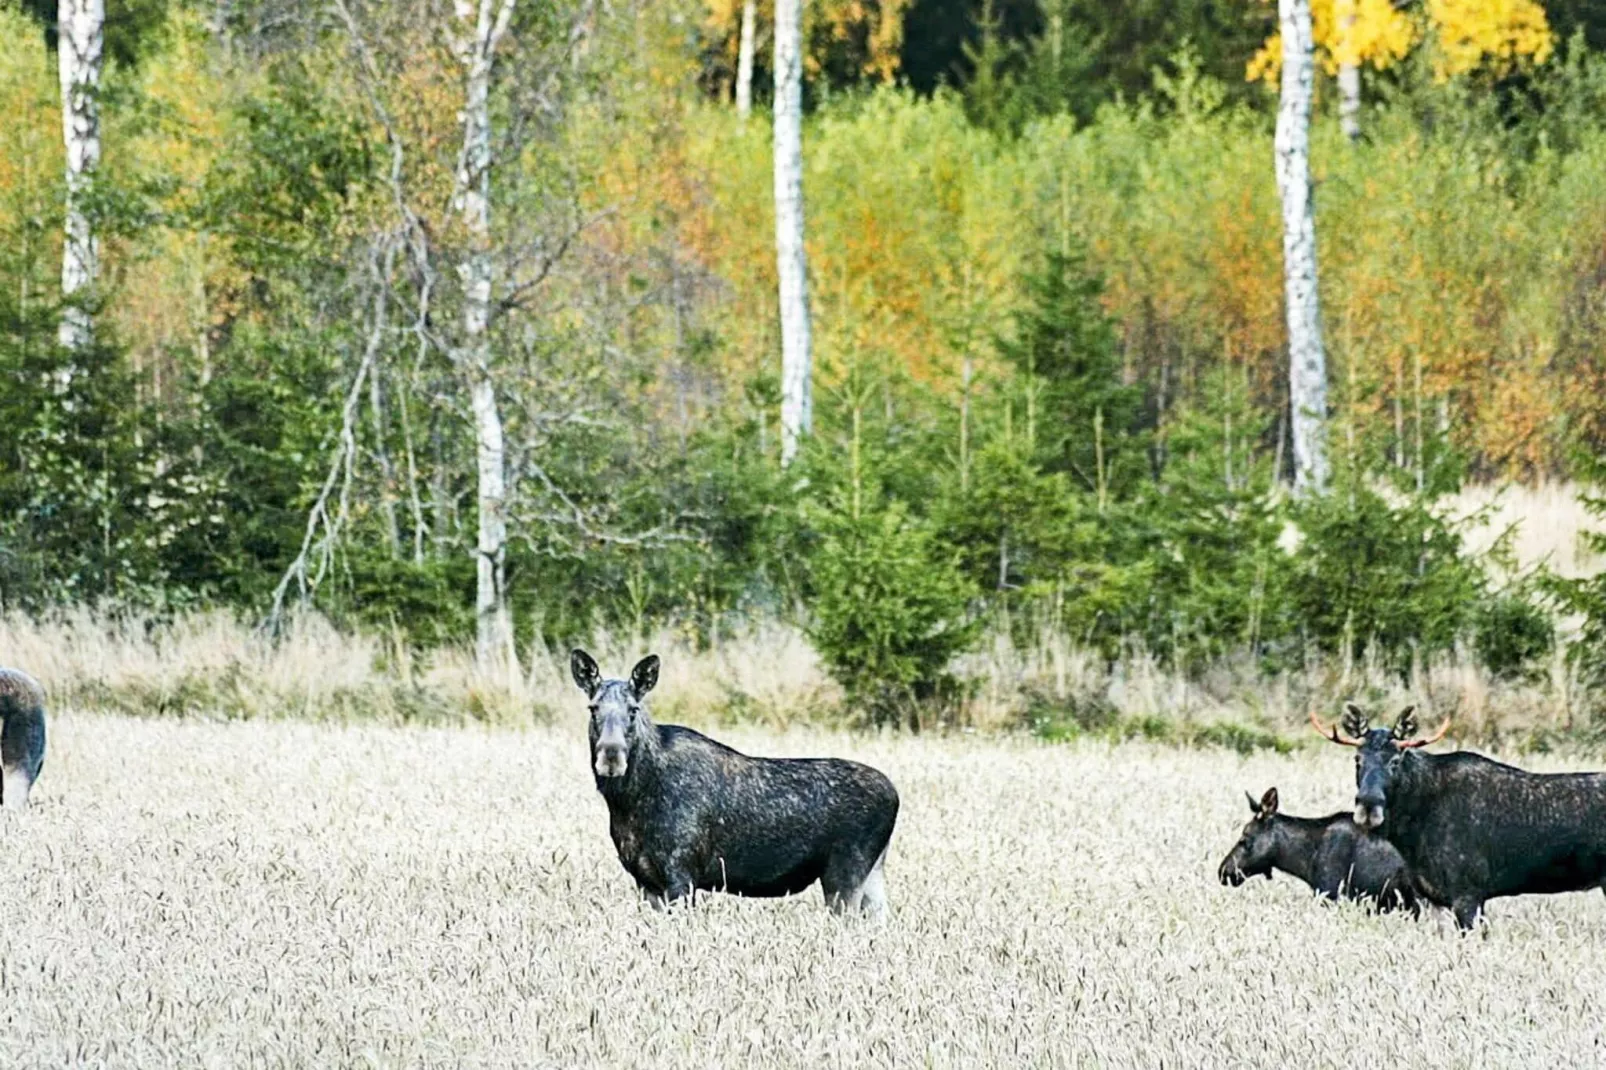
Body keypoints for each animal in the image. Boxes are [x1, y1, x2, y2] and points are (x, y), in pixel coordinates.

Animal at [574, 645, 905, 912]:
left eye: (633, 709)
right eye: (593, 709)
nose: (611, 757)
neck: (628, 801)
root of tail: (895, 795)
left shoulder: (681, 873)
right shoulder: (645, 880)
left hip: (845, 873)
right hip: (872, 874)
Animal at [1316, 700, 1606, 925]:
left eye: (1395, 761)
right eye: (1357, 759)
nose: (1368, 805)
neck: (1411, 833)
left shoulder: (1468, 893)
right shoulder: (1433, 898)